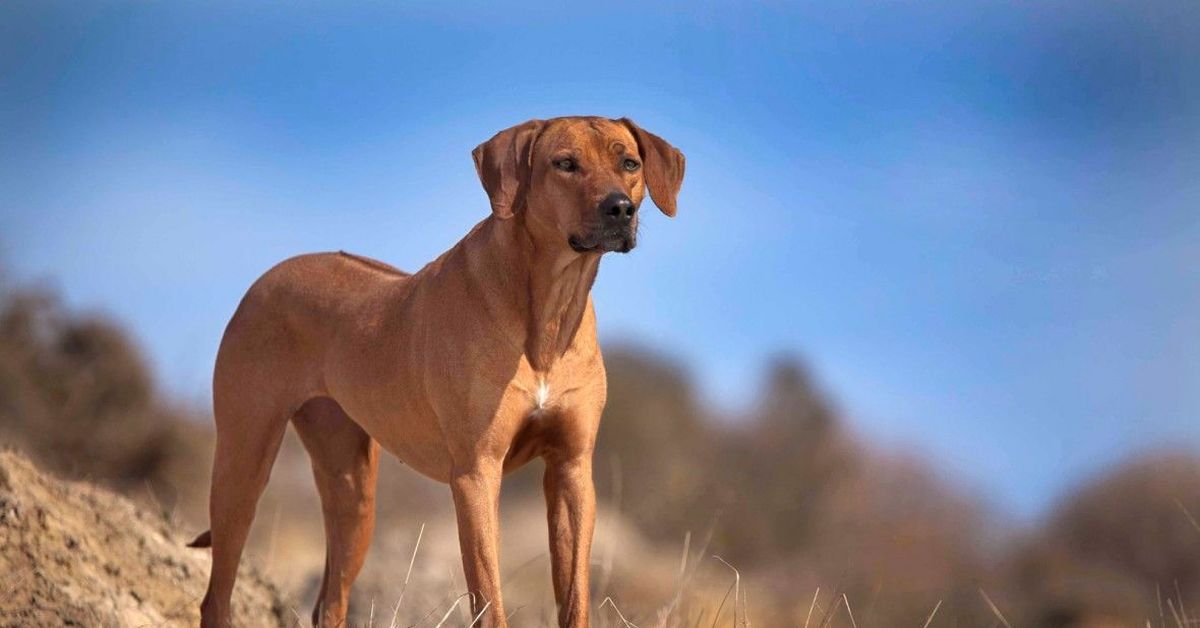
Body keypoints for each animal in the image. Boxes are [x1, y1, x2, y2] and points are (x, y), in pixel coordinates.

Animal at [192, 115, 691, 624]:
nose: (620, 208)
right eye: (565, 164)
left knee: (330, 600)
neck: (550, 310)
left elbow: (574, 597)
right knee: (217, 593)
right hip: (243, 463)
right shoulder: (476, 473)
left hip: (353, 493)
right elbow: (488, 597)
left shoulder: (571, 469)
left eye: (629, 163)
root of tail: (266, 279)